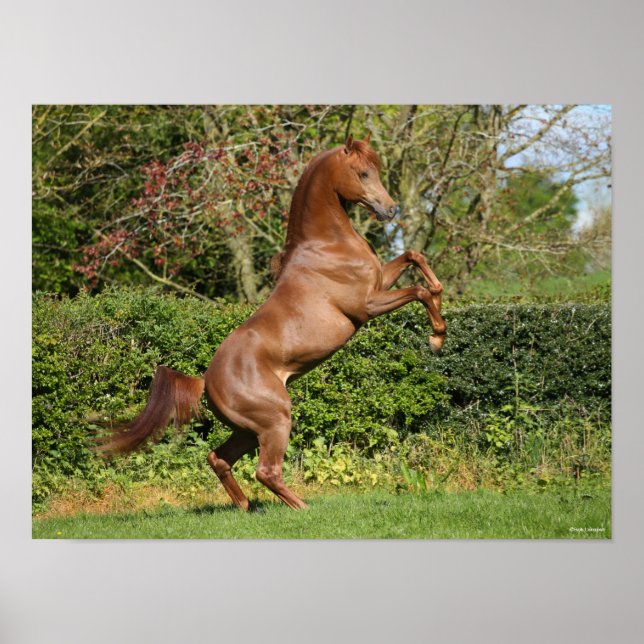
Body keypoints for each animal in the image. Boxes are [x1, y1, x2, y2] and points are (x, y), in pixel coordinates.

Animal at [97, 134, 446, 510]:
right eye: (363, 172)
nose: (391, 210)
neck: (327, 245)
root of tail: (205, 381)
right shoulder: (368, 305)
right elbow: (418, 291)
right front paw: (437, 338)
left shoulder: (381, 281)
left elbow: (415, 257)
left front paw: (439, 308)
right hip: (276, 420)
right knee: (266, 471)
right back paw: (302, 509)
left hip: (248, 431)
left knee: (219, 459)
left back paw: (247, 508)